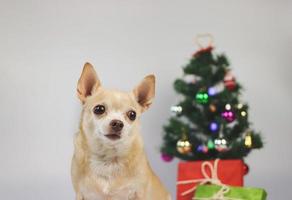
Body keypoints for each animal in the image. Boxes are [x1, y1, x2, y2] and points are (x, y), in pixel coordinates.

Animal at [71, 63, 171, 200]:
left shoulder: (139, 193)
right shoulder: (80, 194)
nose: (118, 123)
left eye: (132, 115)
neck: (108, 160)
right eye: (99, 109)